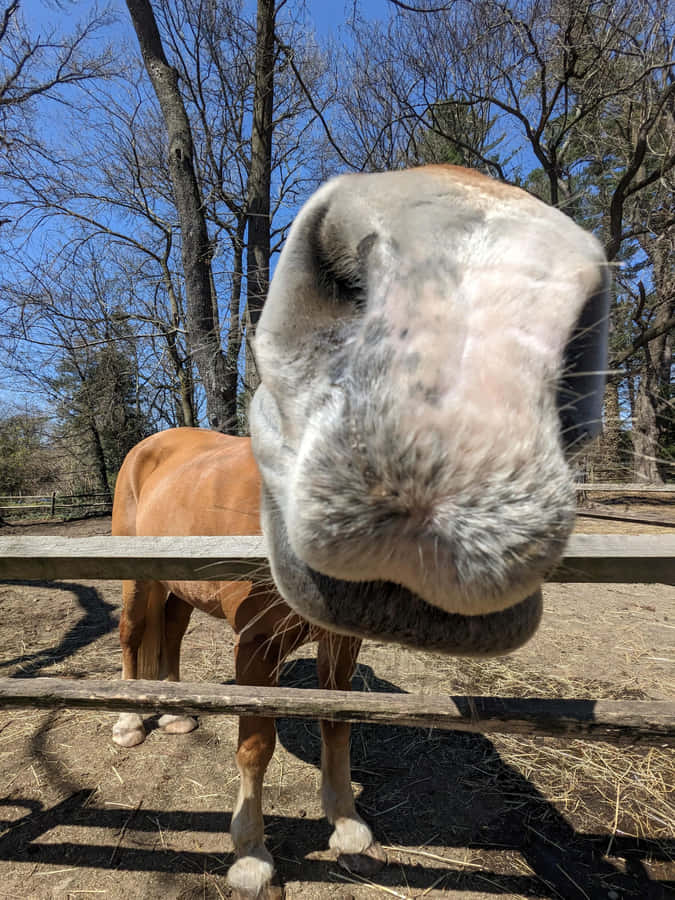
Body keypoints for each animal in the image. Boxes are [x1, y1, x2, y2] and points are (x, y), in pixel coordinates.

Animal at [114, 165, 609, 898]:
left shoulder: (341, 639)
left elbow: (338, 722)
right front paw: (251, 855)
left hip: (177, 585)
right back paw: (129, 721)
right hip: (134, 576)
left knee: (168, 635)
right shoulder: (256, 644)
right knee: (130, 636)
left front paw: (347, 828)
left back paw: (175, 711)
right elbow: (255, 743)